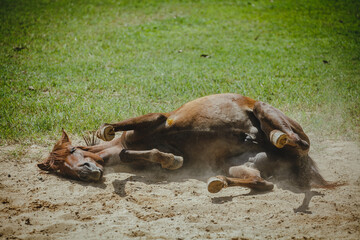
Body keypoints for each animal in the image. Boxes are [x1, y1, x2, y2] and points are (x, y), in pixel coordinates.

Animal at [38, 94, 338, 212]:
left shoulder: (156, 119)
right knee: (261, 182)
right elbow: (133, 157)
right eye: (61, 169)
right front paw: (170, 159)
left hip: (266, 110)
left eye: (73, 149)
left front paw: (106, 131)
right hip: (240, 165)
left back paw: (277, 136)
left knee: (299, 142)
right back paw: (218, 183)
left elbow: (113, 131)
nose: (86, 173)